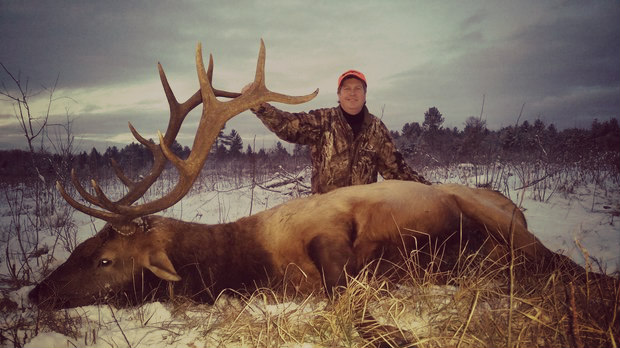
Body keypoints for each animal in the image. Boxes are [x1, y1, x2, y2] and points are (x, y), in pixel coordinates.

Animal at [29, 40, 588, 346]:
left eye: (105, 259)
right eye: (83, 245)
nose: (36, 293)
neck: (253, 262)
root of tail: (516, 209)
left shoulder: (330, 232)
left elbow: (347, 298)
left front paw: (398, 334)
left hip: (498, 220)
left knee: (567, 264)